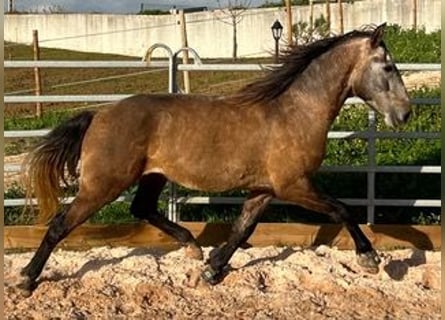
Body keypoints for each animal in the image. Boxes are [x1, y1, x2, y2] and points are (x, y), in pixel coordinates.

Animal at [18, 23, 410, 296]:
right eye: (388, 67)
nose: (405, 114)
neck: (295, 112)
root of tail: (98, 115)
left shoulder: (265, 189)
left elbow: (242, 229)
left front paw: (212, 269)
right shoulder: (294, 185)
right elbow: (342, 209)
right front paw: (370, 259)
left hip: (152, 176)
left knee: (141, 208)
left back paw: (192, 246)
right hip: (102, 185)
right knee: (60, 224)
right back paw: (26, 278)